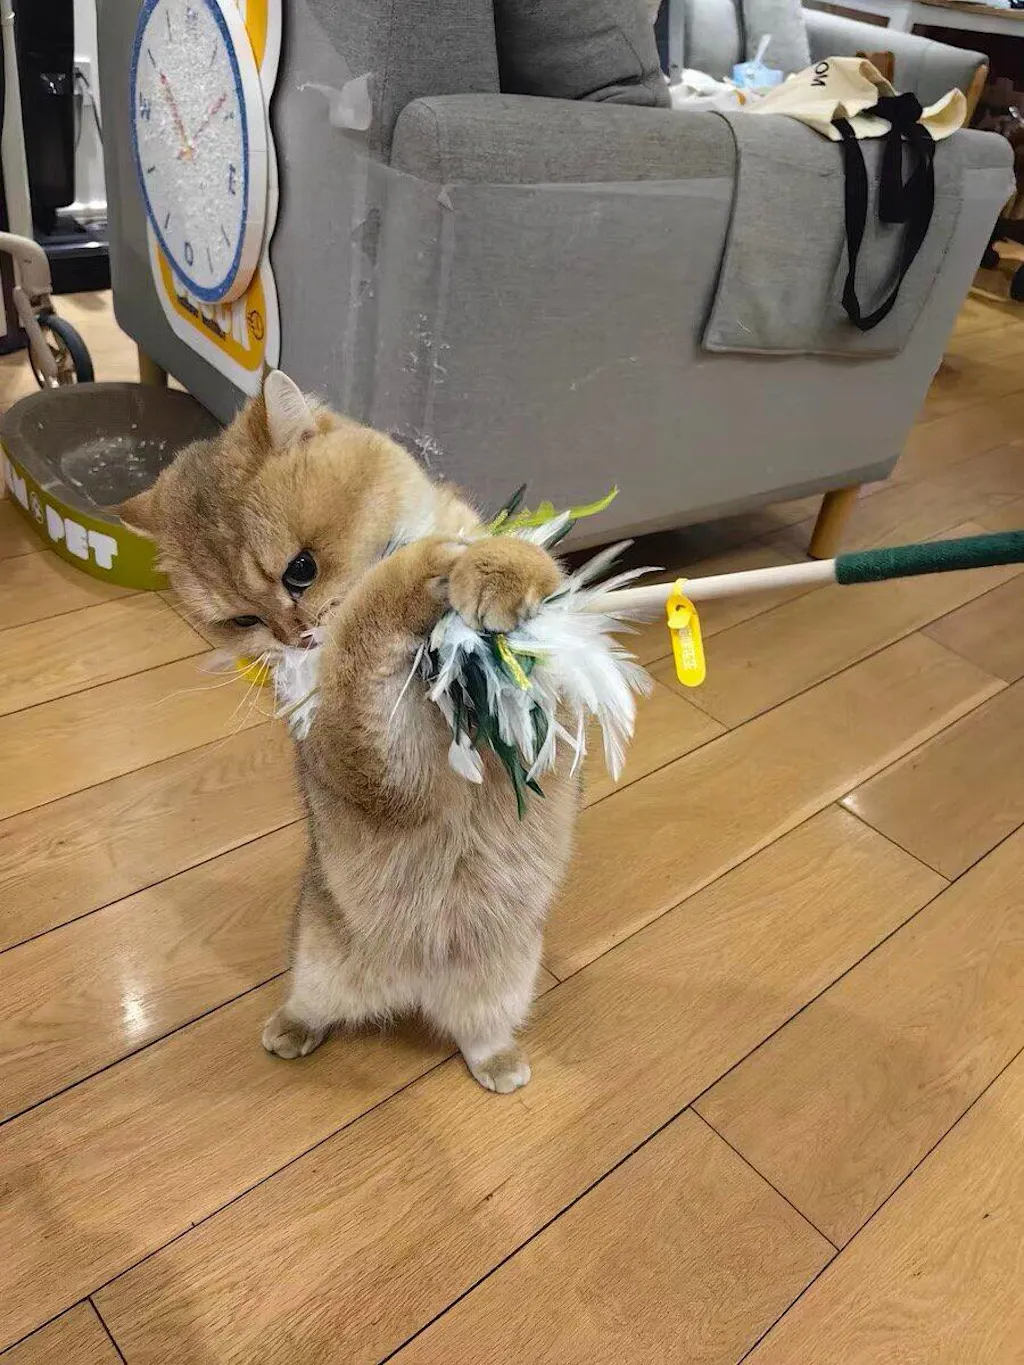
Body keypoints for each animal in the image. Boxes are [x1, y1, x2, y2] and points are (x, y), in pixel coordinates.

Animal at [118, 371, 577, 1093]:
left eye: (300, 569)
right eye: (242, 619)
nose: (296, 639)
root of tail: (412, 989)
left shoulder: (538, 720)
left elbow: (515, 572)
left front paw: (495, 567)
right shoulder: (376, 763)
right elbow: (363, 631)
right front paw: (415, 571)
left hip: (505, 983)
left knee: (479, 1033)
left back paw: (499, 1063)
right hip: (317, 964)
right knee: (316, 1006)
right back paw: (290, 1031)